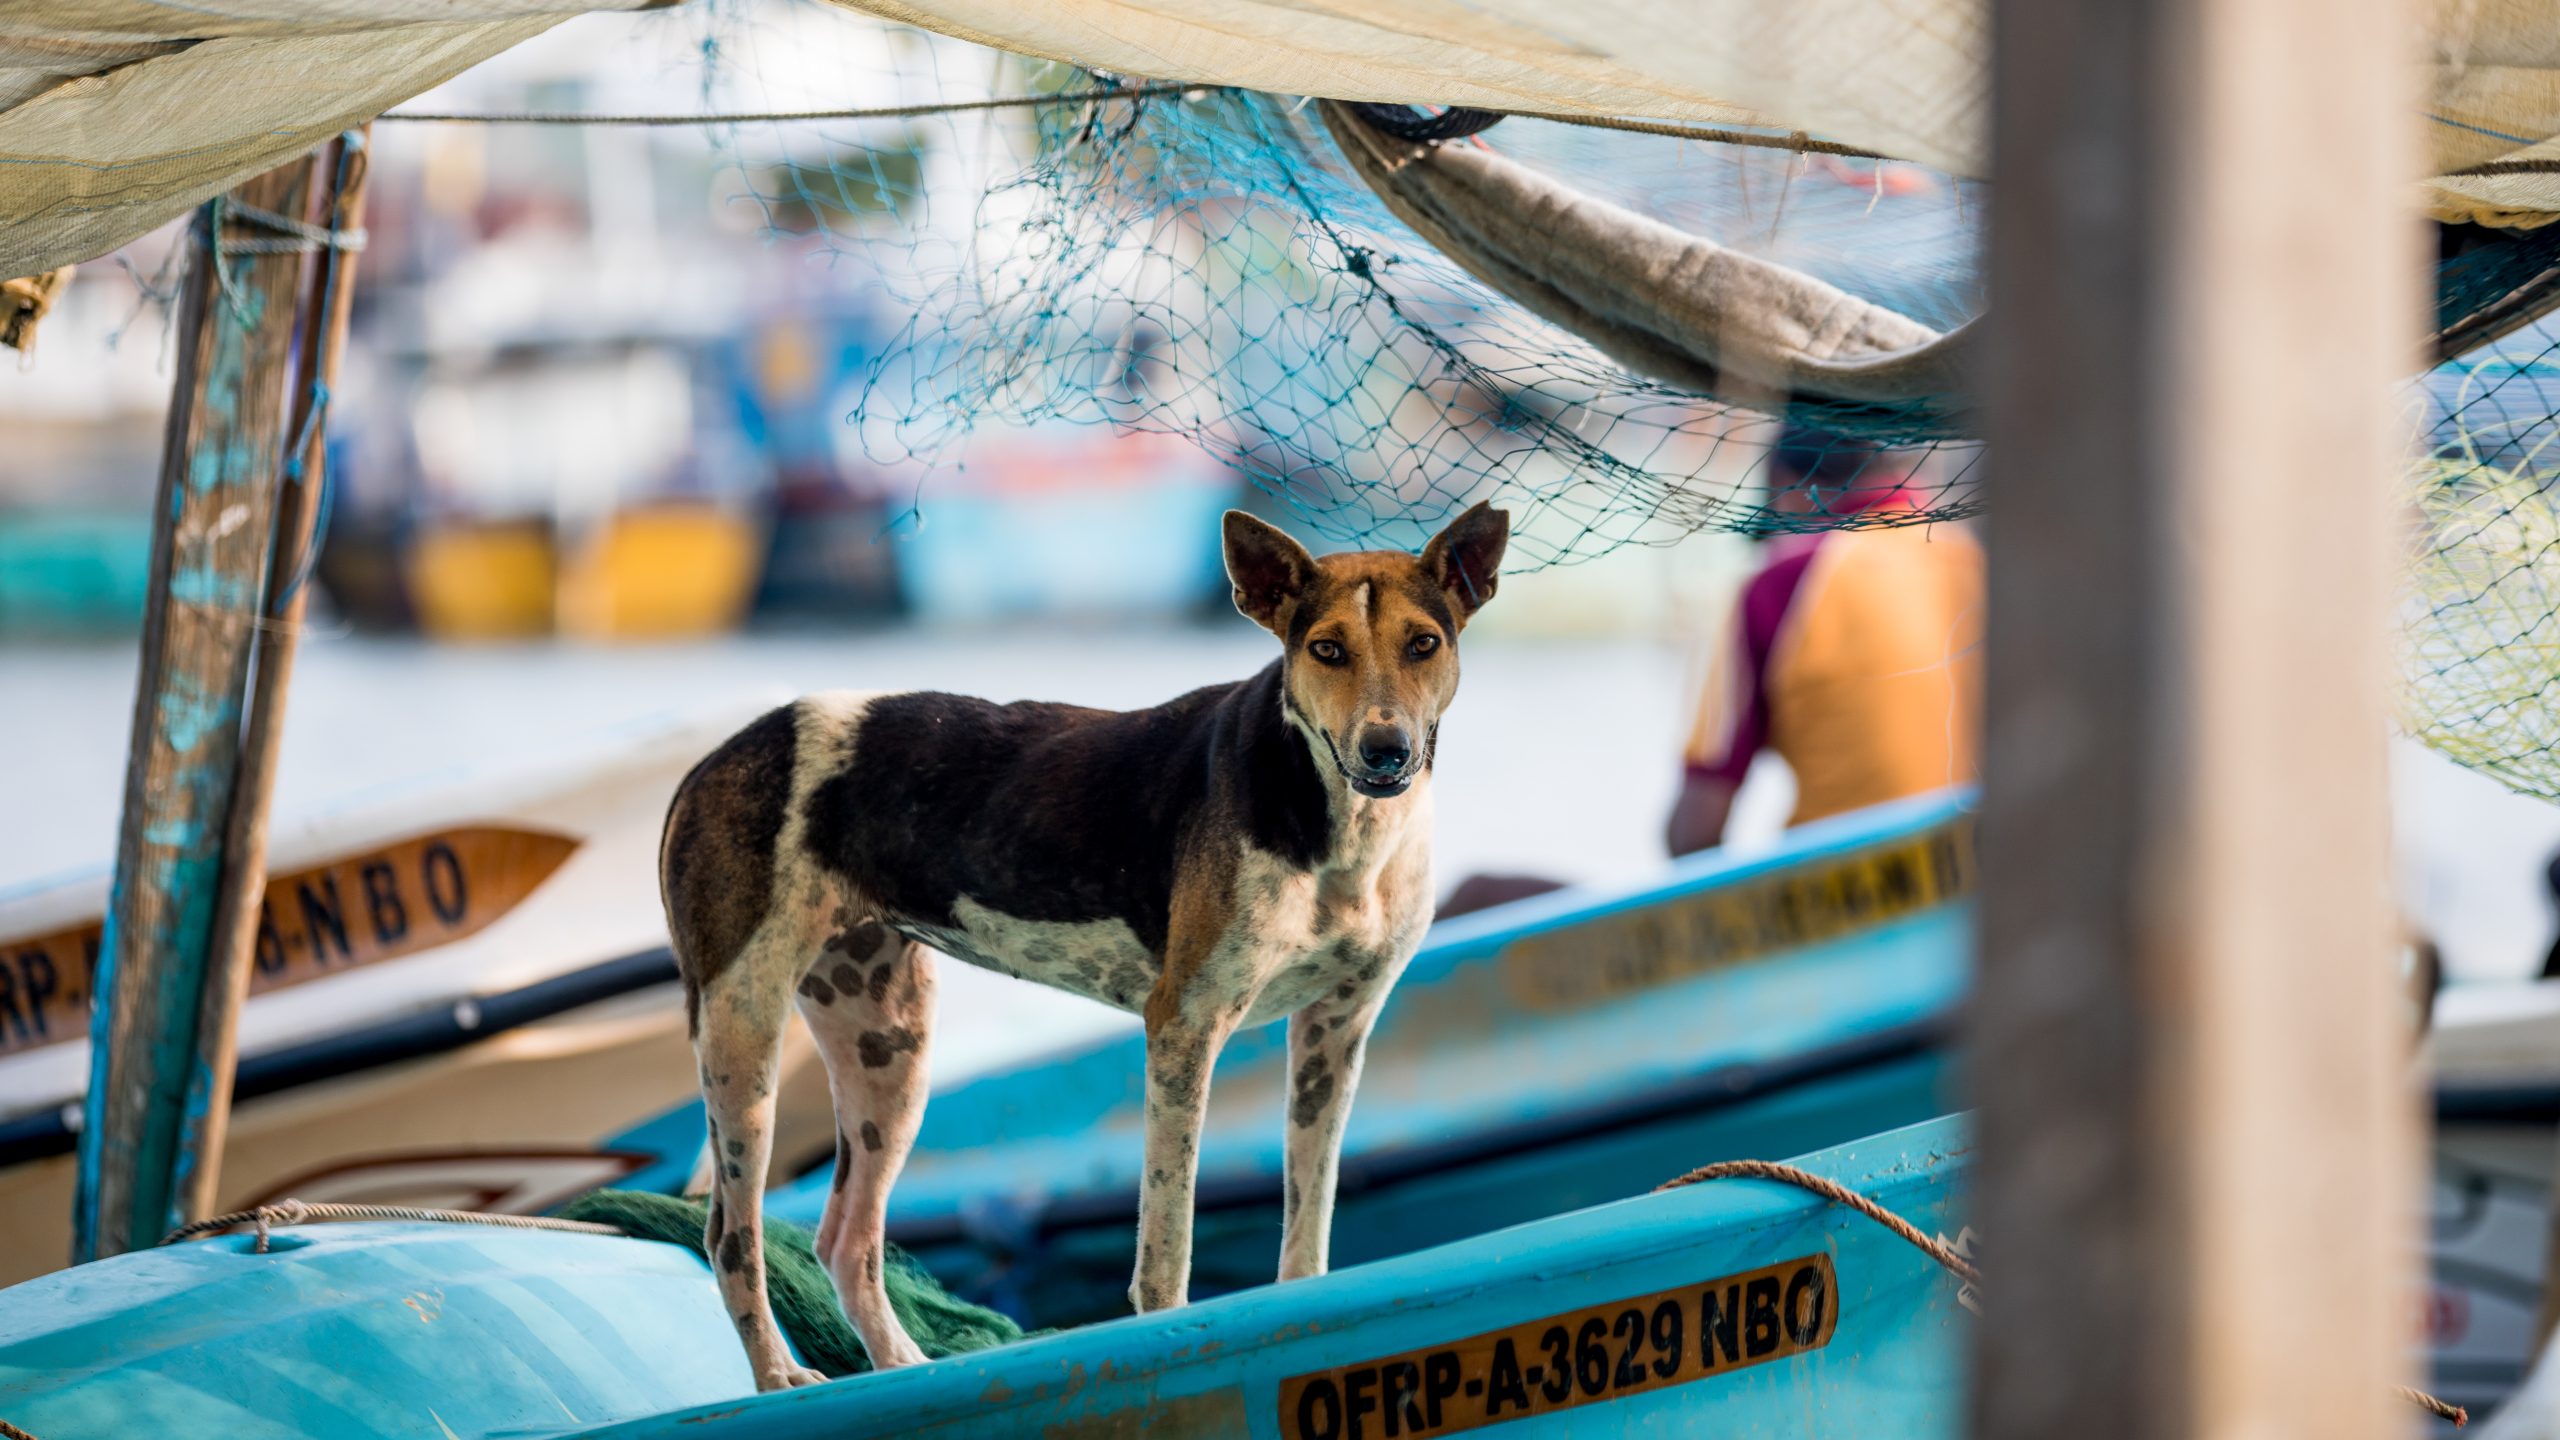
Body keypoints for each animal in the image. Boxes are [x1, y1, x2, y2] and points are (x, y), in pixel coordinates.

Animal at [655, 499, 1515, 1383]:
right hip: (744, 1037)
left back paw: (903, 1368)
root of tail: (718, 757)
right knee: (730, 1238)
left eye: (1425, 643)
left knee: (846, 1241)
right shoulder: (1184, 1030)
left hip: (887, 1051)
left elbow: (1307, 1231)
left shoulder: (1335, 1033)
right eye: (1327, 649)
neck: (1338, 824)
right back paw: (779, 1377)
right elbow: (1167, 1245)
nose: (1387, 749)